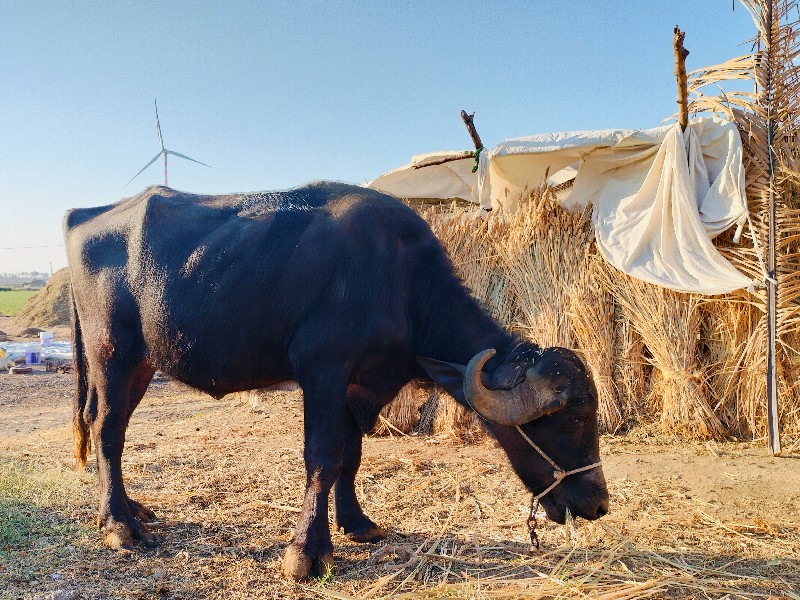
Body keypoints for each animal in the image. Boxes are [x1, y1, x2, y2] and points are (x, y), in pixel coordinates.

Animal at [65, 180, 608, 580]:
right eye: (574, 417)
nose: (599, 503)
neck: (401, 279)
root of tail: (86, 216)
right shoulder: (323, 369)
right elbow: (323, 457)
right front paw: (306, 551)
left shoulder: (360, 385)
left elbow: (352, 455)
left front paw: (356, 523)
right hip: (112, 351)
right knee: (107, 428)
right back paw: (119, 525)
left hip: (143, 363)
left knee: (110, 424)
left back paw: (132, 508)